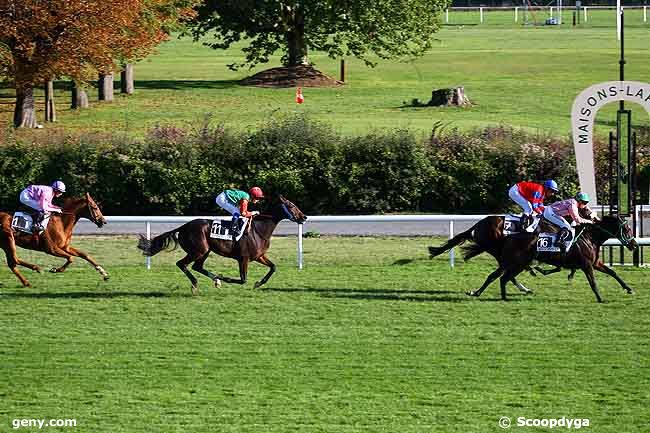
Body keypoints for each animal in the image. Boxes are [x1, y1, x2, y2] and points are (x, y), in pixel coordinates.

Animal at [136, 196, 306, 294]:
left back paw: (215, 280)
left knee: (197, 266)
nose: (304, 217)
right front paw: (225, 278)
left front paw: (258, 283)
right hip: (198, 250)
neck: (259, 229)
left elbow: (273, 267)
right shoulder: (243, 258)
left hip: (205, 251)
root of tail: (183, 227)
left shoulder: (259, 256)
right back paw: (197, 283)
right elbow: (243, 279)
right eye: (291, 206)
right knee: (181, 264)